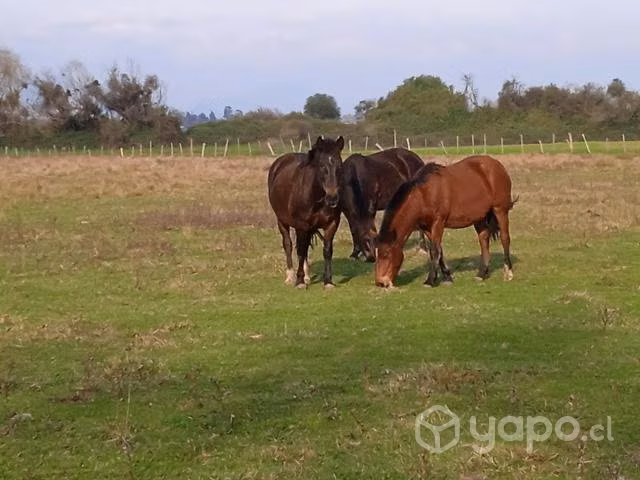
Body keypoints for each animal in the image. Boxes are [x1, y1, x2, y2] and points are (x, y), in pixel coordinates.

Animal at [267, 136, 345, 288]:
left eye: (339, 166)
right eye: (322, 166)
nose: (332, 198)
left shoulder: (331, 224)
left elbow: (327, 251)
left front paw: (328, 282)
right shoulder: (301, 225)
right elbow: (300, 251)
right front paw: (299, 282)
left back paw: (308, 276)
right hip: (282, 221)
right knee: (288, 245)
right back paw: (290, 277)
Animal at [374, 155, 517, 288]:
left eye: (386, 254)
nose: (380, 282)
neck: (423, 195)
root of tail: (497, 165)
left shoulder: (438, 222)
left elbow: (435, 250)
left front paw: (430, 280)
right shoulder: (427, 228)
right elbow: (438, 251)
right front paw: (447, 277)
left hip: (500, 210)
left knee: (505, 238)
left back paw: (508, 272)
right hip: (479, 217)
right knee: (484, 240)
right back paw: (482, 273)